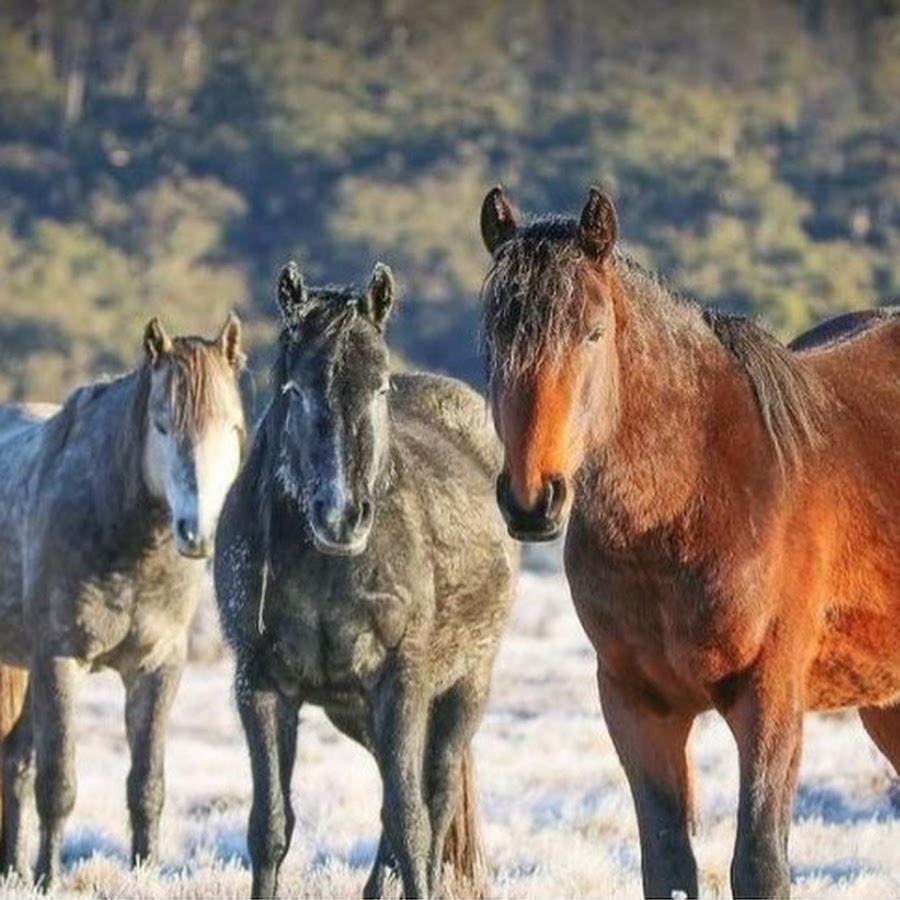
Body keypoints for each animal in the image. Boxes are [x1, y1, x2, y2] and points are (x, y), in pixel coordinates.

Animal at [0, 314, 246, 884]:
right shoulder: (60, 661)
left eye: (232, 427)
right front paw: (48, 880)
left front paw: (145, 874)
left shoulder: (158, 667)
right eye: (161, 425)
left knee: (15, 762)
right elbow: (59, 784)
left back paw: (12, 871)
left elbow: (146, 784)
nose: (198, 532)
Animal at [214, 264, 516, 896]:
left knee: (436, 794)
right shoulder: (260, 684)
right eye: (295, 390)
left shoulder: (401, 681)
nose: (341, 516)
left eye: (378, 388)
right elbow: (270, 826)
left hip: (464, 688)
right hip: (353, 711)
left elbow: (410, 818)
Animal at [482, 186, 900, 896]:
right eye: (491, 335)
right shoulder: (638, 707)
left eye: (593, 333)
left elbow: (758, 864)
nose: (532, 500)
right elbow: (669, 862)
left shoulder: (769, 699)